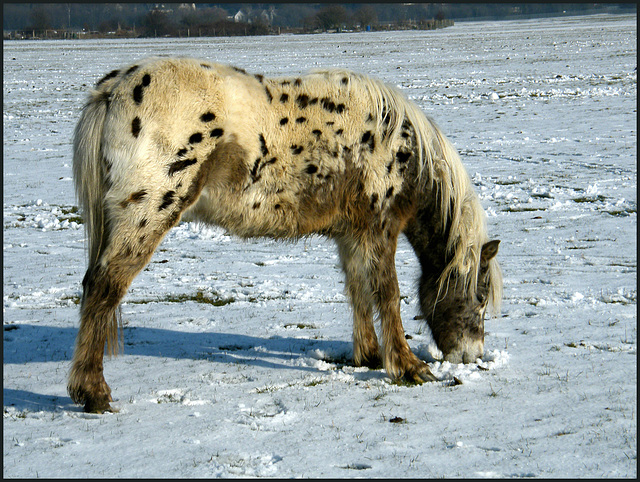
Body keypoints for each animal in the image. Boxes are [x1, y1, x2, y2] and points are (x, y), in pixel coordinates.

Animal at [67, 55, 502, 410]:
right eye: (480, 297)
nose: (472, 354)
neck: (399, 145)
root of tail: (112, 90)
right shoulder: (380, 229)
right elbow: (388, 295)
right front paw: (408, 366)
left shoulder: (352, 234)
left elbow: (358, 290)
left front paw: (369, 356)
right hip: (146, 216)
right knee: (103, 288)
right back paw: (93, 393)